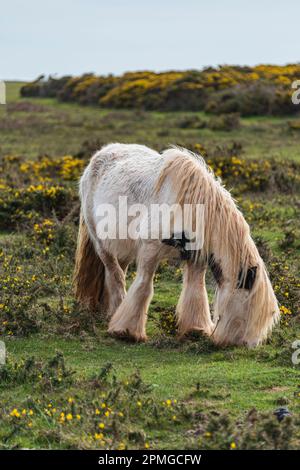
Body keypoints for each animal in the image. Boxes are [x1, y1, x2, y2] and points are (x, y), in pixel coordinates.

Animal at [73, 145, 278, 346]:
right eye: (249, 308)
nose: (247, 344)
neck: (190, 206)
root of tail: (98, 157)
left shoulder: (196, 257)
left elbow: (196, 290)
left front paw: (196, 329)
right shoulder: (149, 251)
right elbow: (143, 287)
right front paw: (127, 331)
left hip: (123, 249)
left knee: (115, 274)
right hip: (101, 244)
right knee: (115, 275)